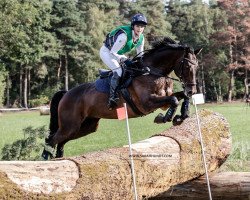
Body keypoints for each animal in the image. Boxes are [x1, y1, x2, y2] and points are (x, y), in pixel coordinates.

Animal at [41, 37, 201, 159]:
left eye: (197, 67)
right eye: (187, 66)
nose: (192, 90)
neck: (152, 71)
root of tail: (67, 93)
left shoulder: (163, 100)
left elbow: (180, 98)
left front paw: (181, 116)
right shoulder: (147, 103)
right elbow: (174, 100)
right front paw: (163, 118)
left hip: (86, 126)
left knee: (61, 141)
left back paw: (58, 158)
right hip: (70, 125)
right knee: (51, 139)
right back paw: (45, 158)